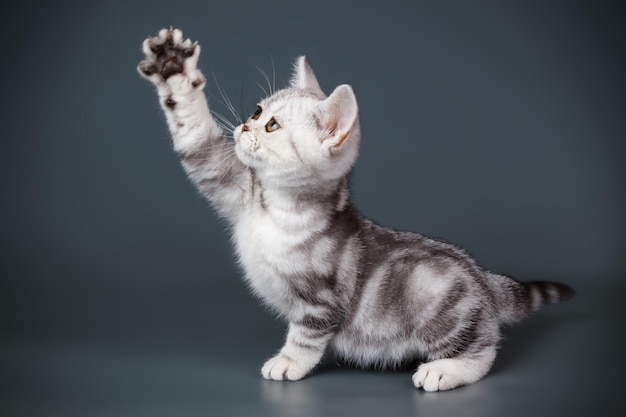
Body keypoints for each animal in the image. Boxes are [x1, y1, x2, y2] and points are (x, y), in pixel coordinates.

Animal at [139, 28, 572, 390]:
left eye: (273, 126)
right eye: (258, 112)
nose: (245, 126)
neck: (281, 208)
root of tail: (483, 278)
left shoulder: (321, 300)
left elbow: (306, 336)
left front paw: (288, 362)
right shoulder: (231, 183)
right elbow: (195, 136)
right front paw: (174, 71)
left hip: (435, 295)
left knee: (484, 349)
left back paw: (445, 370)